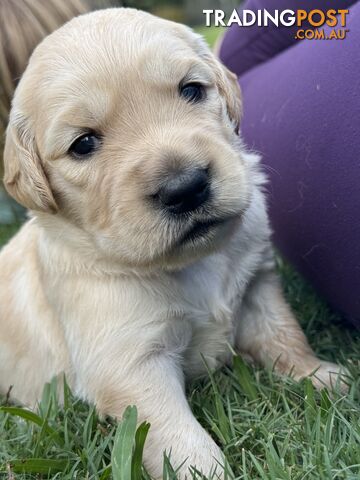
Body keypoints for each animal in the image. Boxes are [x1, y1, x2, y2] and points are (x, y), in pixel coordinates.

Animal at [0, 8, 346, 480]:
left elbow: (284, 335)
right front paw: (210, 472)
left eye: (192, 90)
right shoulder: (130, 364)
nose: (185, 188)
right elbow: (179, 437)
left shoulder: (258, 285)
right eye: (83, 144)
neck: (190, 262)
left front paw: (320, 376)